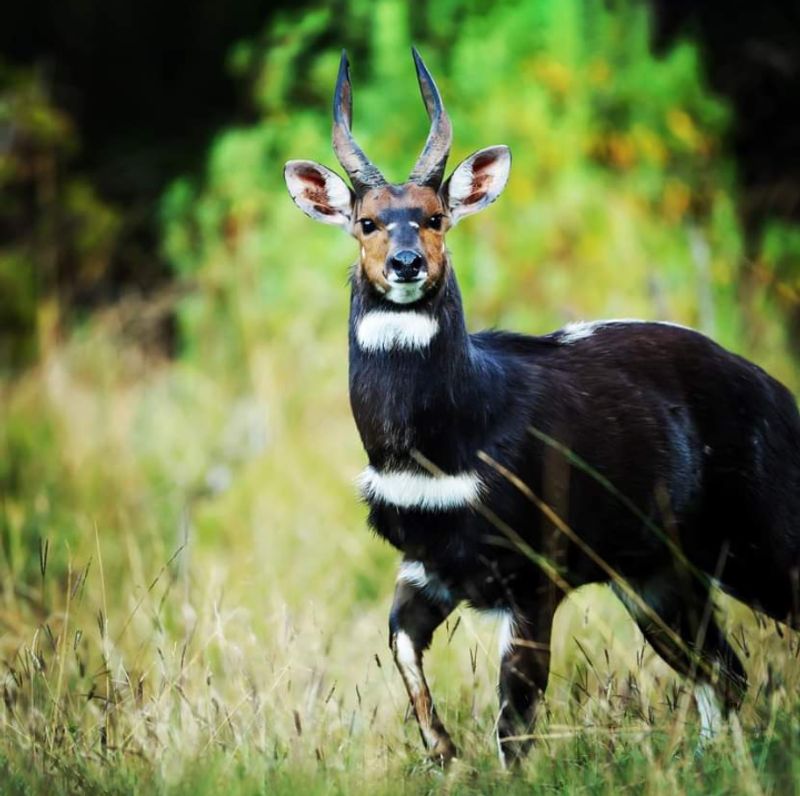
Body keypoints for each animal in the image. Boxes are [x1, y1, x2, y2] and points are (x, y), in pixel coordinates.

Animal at [286, 49, 800, 764]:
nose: (406, 263)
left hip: (758, 537)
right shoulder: (428, 565)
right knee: (724, 675)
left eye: (436, 215)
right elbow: (406, 658)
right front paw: (446, 753)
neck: (440, 446)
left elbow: (514, 724)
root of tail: (780, 396)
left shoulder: (533, 573)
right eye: (367, 221)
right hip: (657, 573)